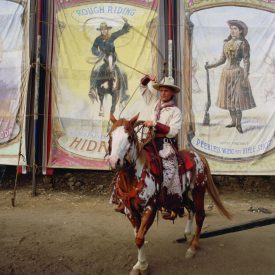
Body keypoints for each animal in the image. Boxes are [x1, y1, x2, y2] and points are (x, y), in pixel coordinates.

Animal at [106, 113, 232, 274]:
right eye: (111, 135)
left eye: (129, 137)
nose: (113, 161)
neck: (134, 176)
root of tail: (198, 156)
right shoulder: (130, 211)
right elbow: (138, 236)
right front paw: (138, 265)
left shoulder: (150, 208)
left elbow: (140, 238)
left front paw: (143, 266)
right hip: (180, 195)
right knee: (191, 208)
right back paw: (188, 235)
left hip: (198, 190)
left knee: (200, 214)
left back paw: (193, 247)